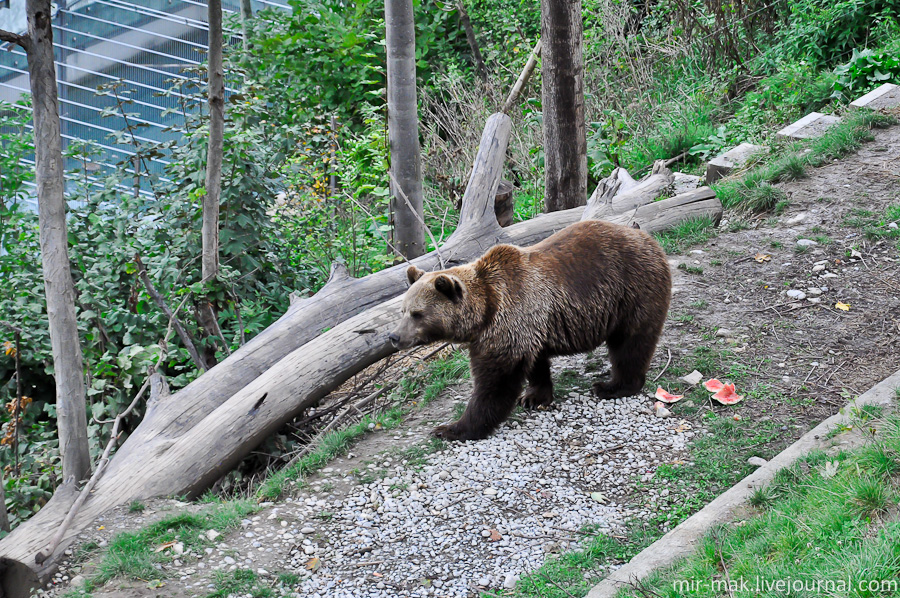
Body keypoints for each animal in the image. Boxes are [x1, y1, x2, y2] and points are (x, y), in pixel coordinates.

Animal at [390, 219, 672, 440]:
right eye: (403, 311)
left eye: (417, 314)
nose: (394, 337)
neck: (484, 312)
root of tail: (645, 235)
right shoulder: (532, 326)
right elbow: (535, 363)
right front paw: (534, 397)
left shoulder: (509, 321)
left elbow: (495, 383)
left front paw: (452, 428)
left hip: (633, 289)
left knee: (630, 343)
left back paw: (612, 386)